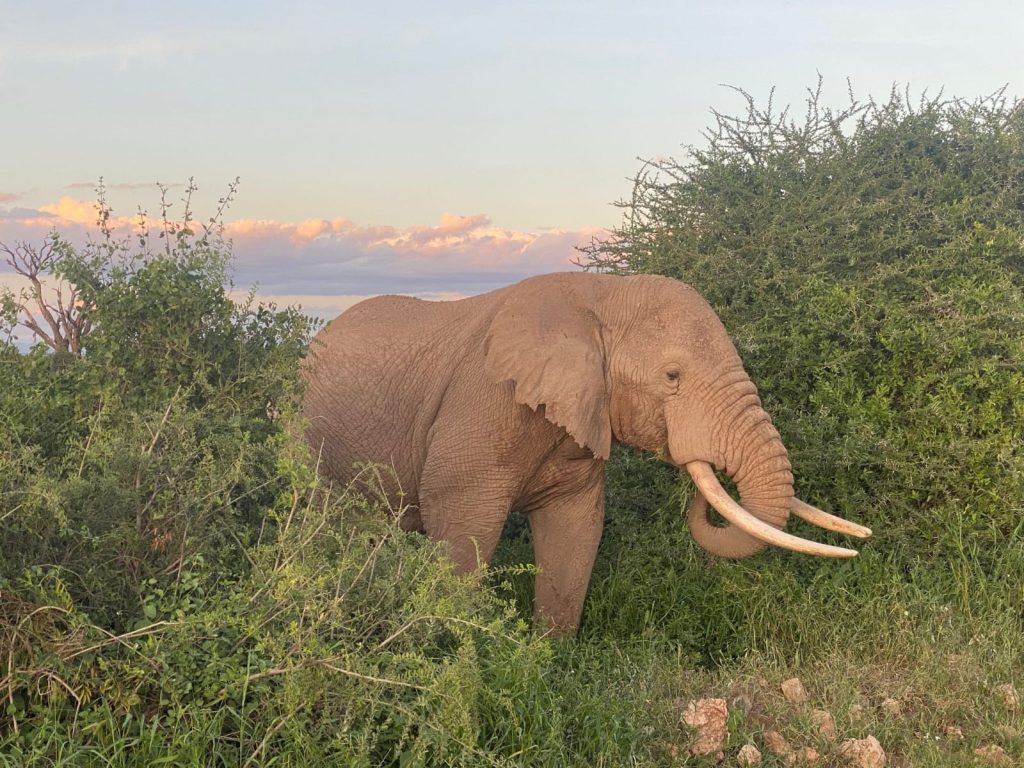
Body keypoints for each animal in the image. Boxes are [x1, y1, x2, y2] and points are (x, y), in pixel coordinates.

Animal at [302, 272, 870, 634]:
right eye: (672, 376)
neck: (603, 292)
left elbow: (575, 529)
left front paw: (546, 658)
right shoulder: (482, 405)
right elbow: (464, 528)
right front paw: (449, 646)